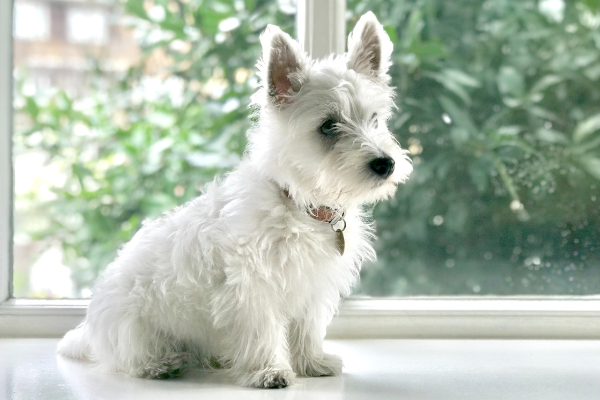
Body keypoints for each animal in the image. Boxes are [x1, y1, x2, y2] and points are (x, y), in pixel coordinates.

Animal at [57, 11, 412, 388]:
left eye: (375, 119)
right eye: (328, 126)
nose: (385, 164)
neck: (299, 204)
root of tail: (91, 328)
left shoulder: (312, 286)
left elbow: (306, 329)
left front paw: (311, 363)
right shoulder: (250, 286)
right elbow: (262, 331)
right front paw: (270, 371)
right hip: (132, 325)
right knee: (131, 357)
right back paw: (163, 363)